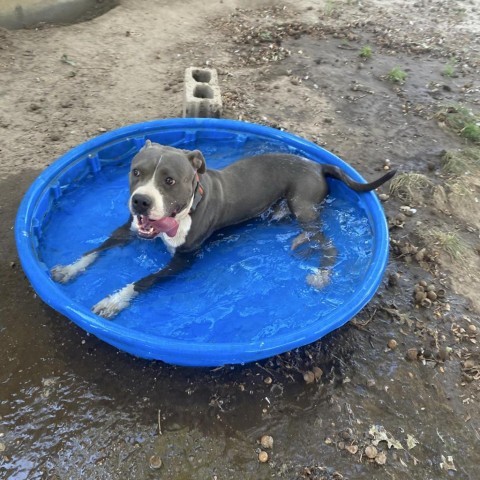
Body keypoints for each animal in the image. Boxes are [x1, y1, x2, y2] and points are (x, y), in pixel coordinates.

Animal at [50, 139, 396, 318]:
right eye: (136, 172)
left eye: (169, 180)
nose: (141, 201)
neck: (185, 209)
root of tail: (317, 164)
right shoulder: (128, 230)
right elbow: (94, 250)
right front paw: (68, 269)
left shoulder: (182, 262)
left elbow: (142, 281)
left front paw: (113, 301)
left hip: (304, 205)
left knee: (328, 242)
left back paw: (322, 273)